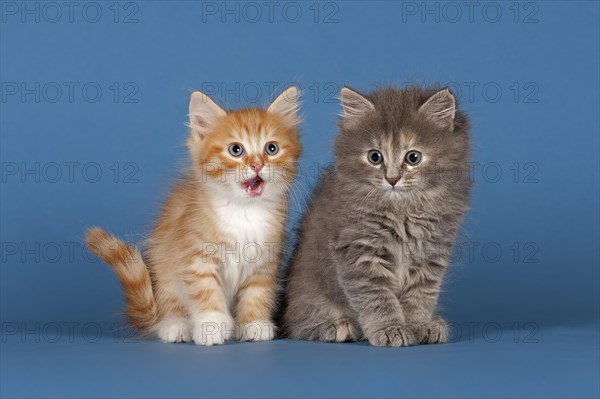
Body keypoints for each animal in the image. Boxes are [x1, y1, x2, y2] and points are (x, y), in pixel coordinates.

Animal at [85, 86, 300, 346]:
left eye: (271, 149)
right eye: (236, 150)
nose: (257, 165)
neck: (243, 211)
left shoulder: (265, 261)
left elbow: (257, 293)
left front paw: (254, 324)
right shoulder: (196, 255)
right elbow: (206, 292)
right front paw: (212, 327)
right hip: (165, 272)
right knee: (170, 306)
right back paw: (174, 326)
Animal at [280, 85, 468, 346]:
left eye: (413, 157)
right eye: (374, 157)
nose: (392, 179)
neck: (402, 211)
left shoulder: (432, 252)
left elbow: (420, 295)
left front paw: (419, 325)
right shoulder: (360, 250)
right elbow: (377, 298)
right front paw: (390, 329)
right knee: (299, 324)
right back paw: (335, 326)